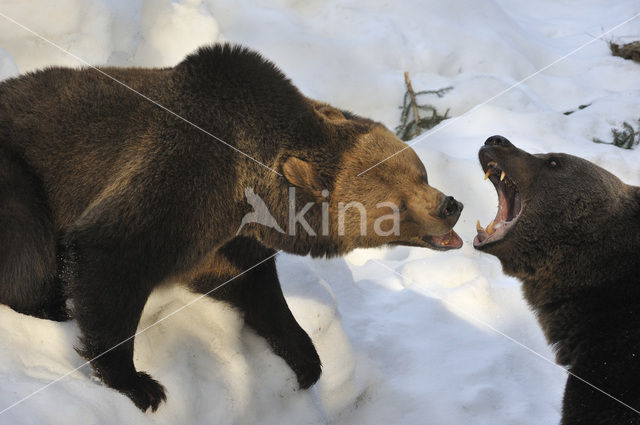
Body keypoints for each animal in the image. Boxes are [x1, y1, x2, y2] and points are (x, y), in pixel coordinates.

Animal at [0, 44, 462, 410]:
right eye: (399, 204)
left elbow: (253, 285)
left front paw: (305, 357)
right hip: (19, 178)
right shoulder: (185, 175)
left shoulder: (228, 236)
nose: (450, 205)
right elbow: (112, 250)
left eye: (419, 172)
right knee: (28, 250)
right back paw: (49, 306)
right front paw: (138, 384)